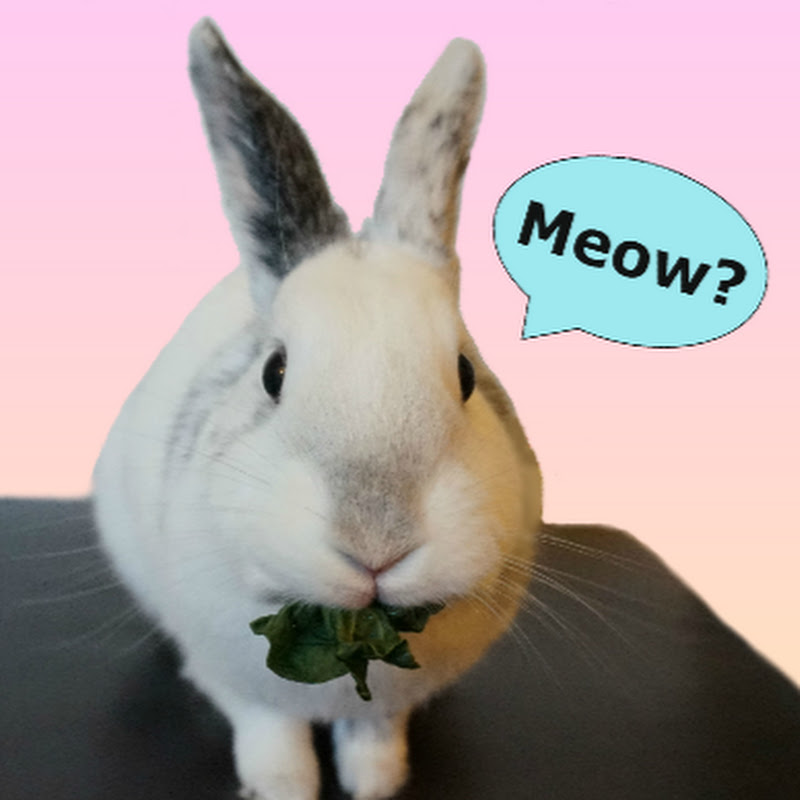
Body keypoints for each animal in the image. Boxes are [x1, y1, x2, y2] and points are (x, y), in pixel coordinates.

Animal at [92, 17, 542, 800]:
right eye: (274, 373)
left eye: (465, 374)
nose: (375, 543)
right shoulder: (237, 679)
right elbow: (270, 731)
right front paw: (282, 785)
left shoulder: (384, 706)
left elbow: (374, 735)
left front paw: (376, 783)